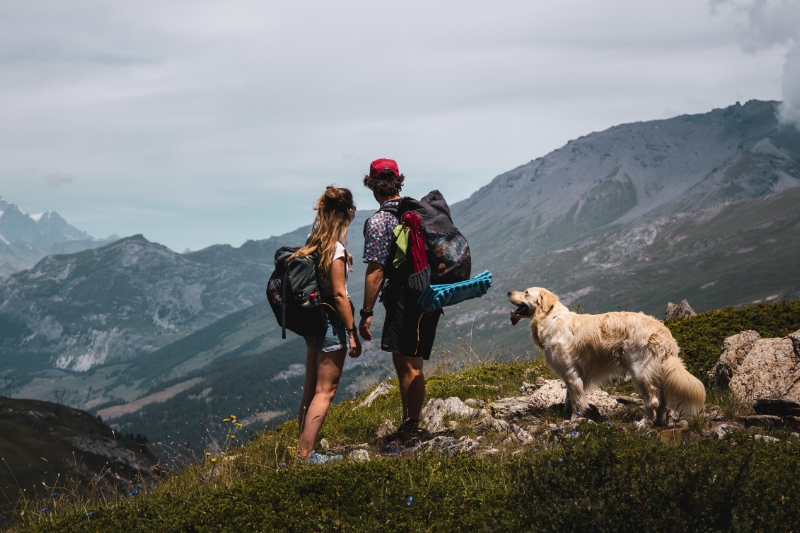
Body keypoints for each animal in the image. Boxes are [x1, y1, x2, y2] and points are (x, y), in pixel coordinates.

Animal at [510, 286, 704, 424]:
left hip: (639, 371)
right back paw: (659, 422)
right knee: (663, 401)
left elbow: (577, 400)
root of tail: (663, 331)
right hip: (656, 371)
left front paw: (574, 421)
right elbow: (570, 398)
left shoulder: (571, 373)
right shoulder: (571, 374)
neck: (550, 319)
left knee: (653, 400)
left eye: (526, 292)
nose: (508, 292)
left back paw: (644, 423)